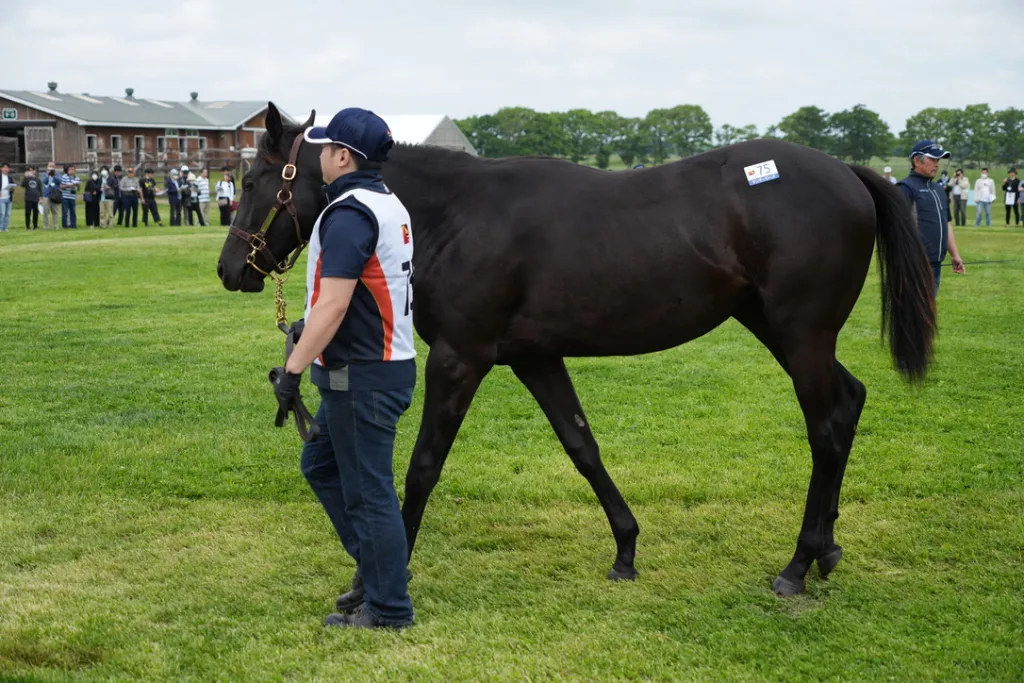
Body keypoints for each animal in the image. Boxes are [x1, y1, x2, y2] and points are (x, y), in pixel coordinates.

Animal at [217, 103, 936, 596]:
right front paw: (626, 550)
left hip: (800, 332)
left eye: (253, 181)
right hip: (778, 327)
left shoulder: (461, 358)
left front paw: (377, 577)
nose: (229, 269)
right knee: (848, 403)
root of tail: (846, 173)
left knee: (827, 426)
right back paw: (828, 549)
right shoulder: (535, 357)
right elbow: (582, 446)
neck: (456, 214)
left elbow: (422, 465)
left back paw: (799, 561)